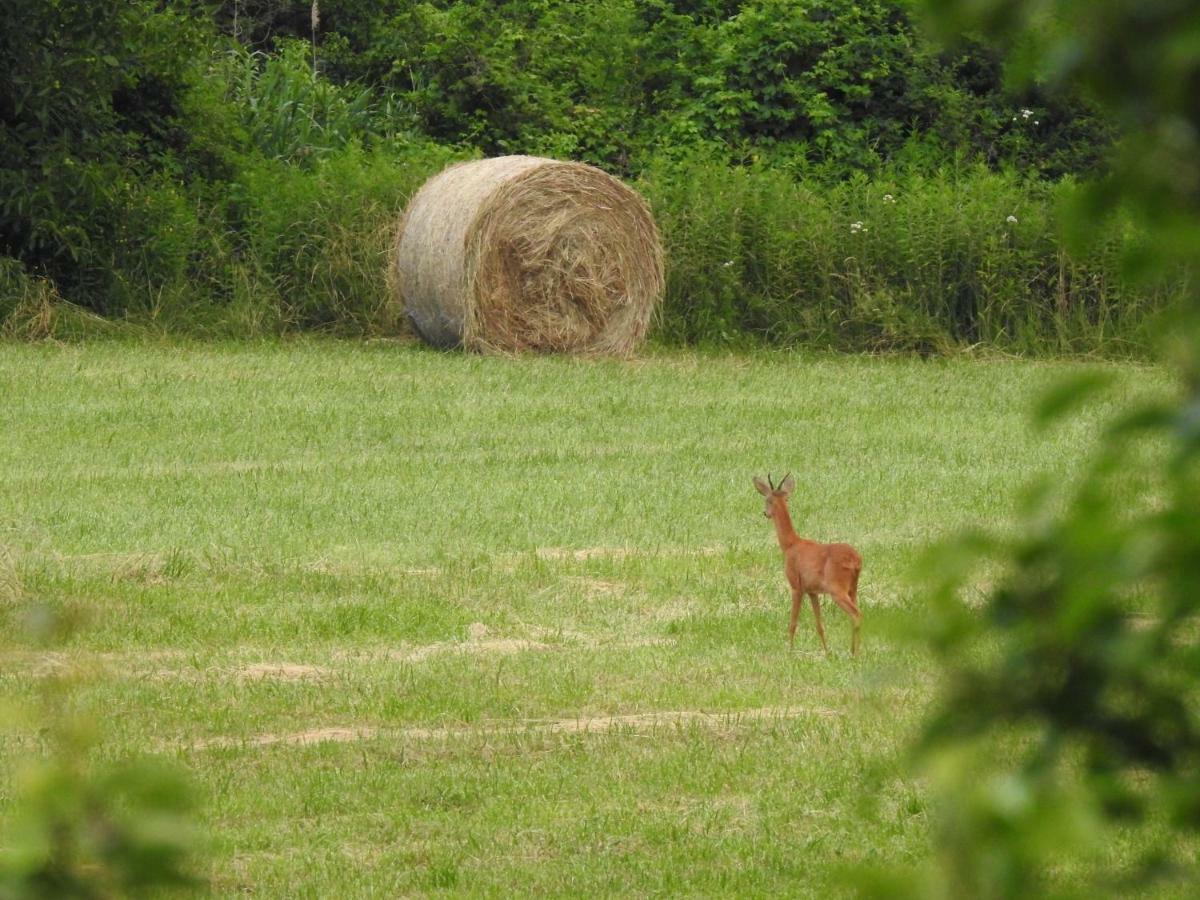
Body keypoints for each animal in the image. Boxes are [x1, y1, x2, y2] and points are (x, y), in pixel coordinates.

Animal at [748, 475, 864, 657]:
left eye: (767, 499)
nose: (765, 513)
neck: (790, 544)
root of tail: (856, 560)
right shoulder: (812, 591)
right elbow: (819, 625)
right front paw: (826, 651)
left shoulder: (796, 585)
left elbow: (793, 623)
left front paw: (789, 651)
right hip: (853, 588)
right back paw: (852, 650)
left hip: (837, 588)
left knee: (857, 614)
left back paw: (855, 653)